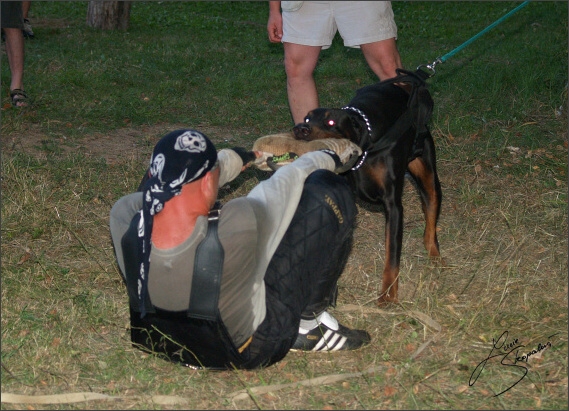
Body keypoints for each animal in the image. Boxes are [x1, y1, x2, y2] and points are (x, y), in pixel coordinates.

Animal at [290, 69, 442, 306]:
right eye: (307, 118)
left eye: (331, 121)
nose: (300, 129)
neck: (364, 146)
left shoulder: (393, 205)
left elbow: (392, 255)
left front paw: (388, 295)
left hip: (428, 175)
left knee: (431, 217)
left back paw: (435, 255)